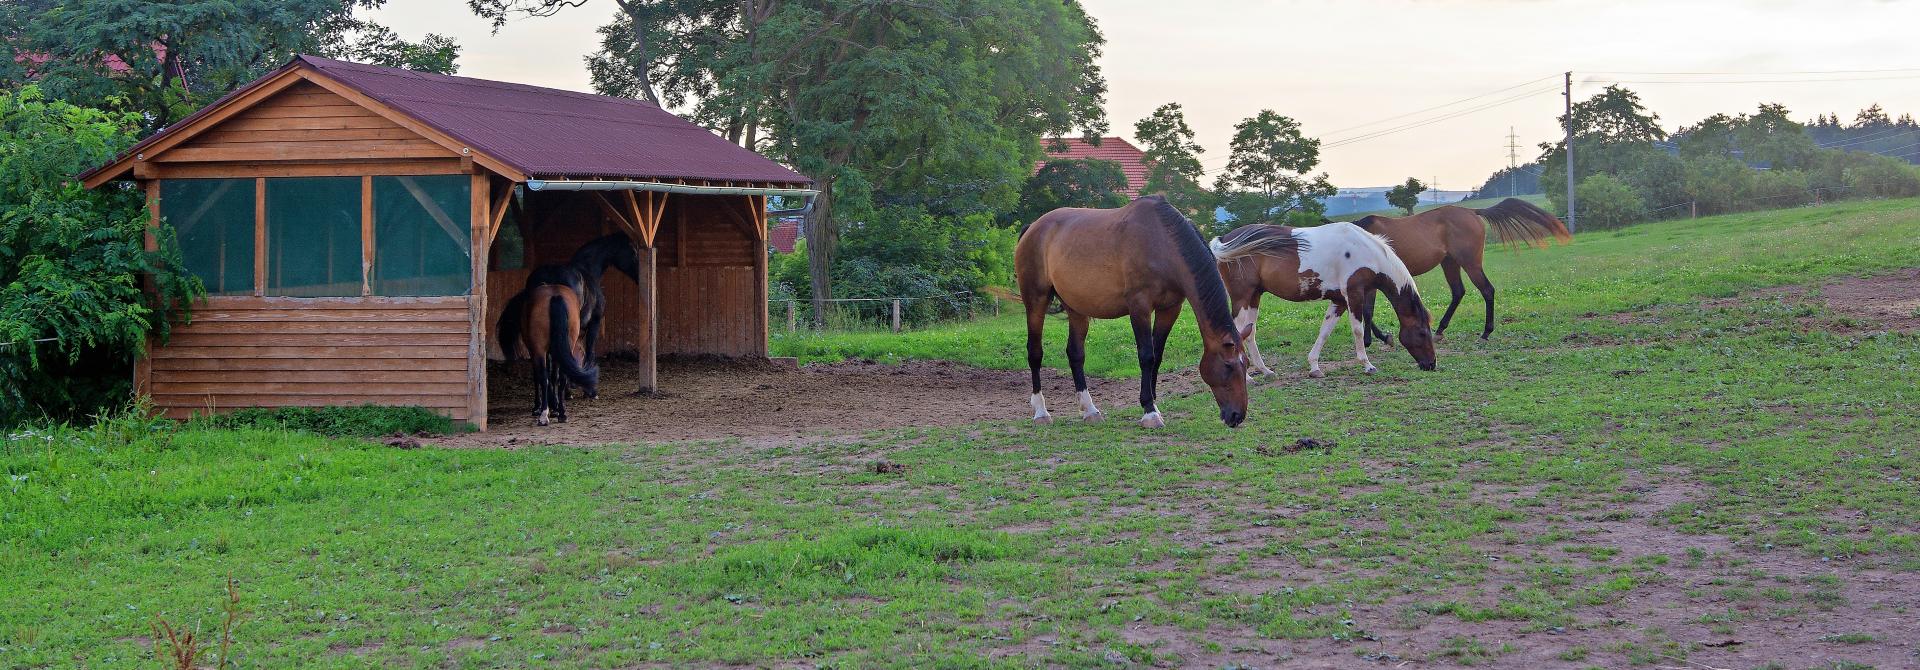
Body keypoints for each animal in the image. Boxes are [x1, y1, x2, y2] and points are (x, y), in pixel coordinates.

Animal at [519, 284, 600, 426]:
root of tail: (555, 295)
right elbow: (554, 377)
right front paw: (555, 408)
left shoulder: (534, 352)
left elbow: (539, 378)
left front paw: (539, 407)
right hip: (568, 345)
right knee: (561, 377)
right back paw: (562, 413)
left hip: (539, 350)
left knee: (543, 378)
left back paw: (543, 415)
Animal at [1015, 195, 1261, 428]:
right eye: (1228, 366)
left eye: (1246, 365)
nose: (1237, 416)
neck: (1162, 244)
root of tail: (1033, 227)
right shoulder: (1139, 307)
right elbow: (1146, 356)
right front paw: (1149, 412)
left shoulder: (1170, 308)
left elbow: (1157, 355)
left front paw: (1154, 404)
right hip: (1036, 300)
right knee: (1035, 352)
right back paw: (1041, 412)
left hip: (1076, 307)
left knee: (1075, 354)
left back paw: (1090, 410)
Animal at [1210, 222, 1437, 378]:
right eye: (1422, 333)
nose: (1432, 364)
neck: (1364, 251)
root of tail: (1225, 240)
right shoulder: (1354, 295)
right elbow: (1357, 330)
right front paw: (1367, 365)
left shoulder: (1339, 301)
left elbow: (1325, 331)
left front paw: (1314, 367)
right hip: (1242, 297)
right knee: (1237, 333)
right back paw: (1247, 378)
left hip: (1254, 297)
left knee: (1250, 333)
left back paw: (1265, 371)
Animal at [1350, 197, 1570, 344]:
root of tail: (1473, 212)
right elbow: (1366, 310)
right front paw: (1382, 337)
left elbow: (1367, 310)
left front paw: (1372, 340)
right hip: (1450, 262)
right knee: (1458, 292)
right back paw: (1440, 330)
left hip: (1469, 263)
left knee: (1487, 290)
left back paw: (1485, 332)